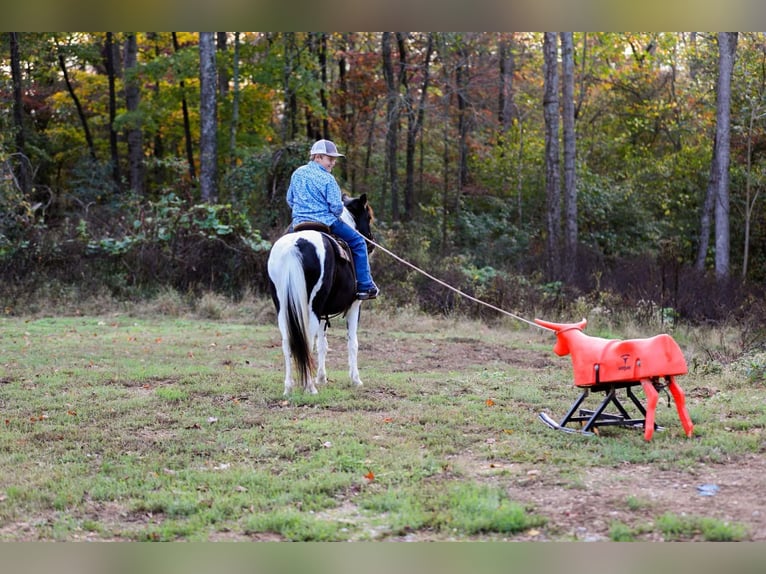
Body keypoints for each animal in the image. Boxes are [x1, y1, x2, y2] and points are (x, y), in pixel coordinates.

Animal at [267, 193, 376, 395]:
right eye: (368, 217)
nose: (370, 244)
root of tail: (295, 245)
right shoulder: (354, 306)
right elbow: (352, 343)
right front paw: (355, 380)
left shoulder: (324, 312)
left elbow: (322, 344)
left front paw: (322, 377)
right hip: (312, 307)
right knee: (306, 340)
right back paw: (309, 387)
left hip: (283, 307)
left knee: (287, 342)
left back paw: (289, 388)